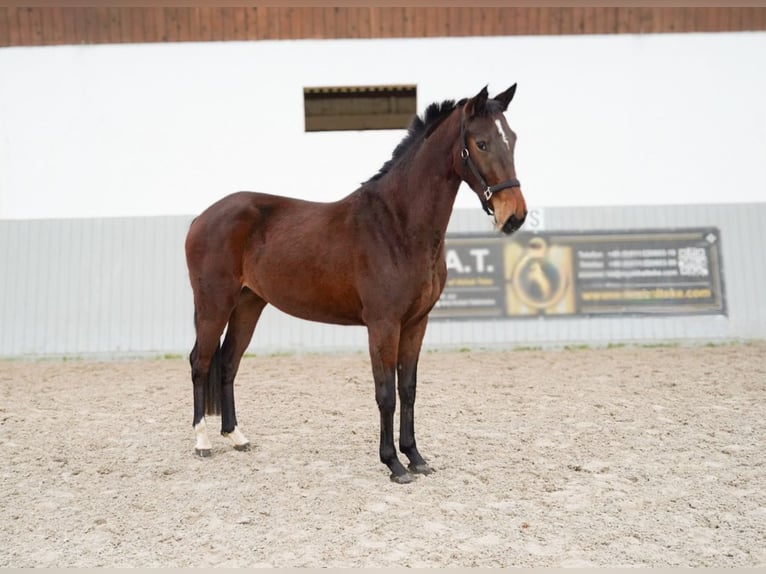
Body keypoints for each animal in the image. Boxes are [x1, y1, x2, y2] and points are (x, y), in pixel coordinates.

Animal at [186, 83, 528, 484]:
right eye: (481, 143)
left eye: (512, 139)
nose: (514, 216)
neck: (397, 224)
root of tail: (202, 217)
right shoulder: (383, 325)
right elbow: (386, 394)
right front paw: (394, 464)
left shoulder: (416, 323)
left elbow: (407, 390)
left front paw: (416, 457)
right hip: (213, 305)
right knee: (200, 362)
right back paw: (202, 442)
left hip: (248, 304)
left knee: (228, 362)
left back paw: (237, 436)